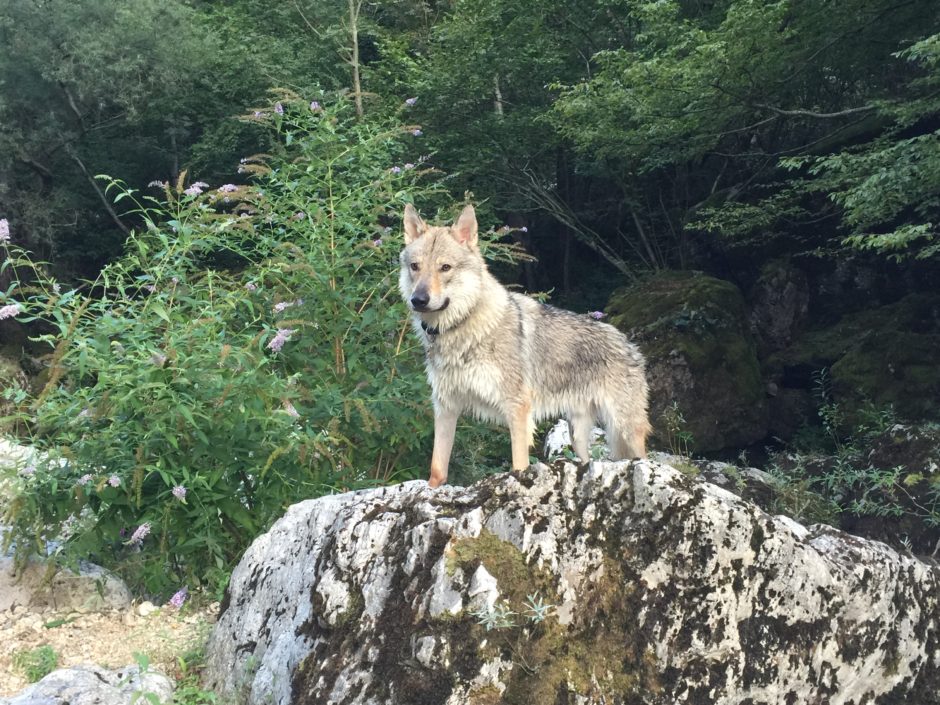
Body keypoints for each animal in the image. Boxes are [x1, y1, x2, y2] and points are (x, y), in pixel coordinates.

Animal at [398, 204, 652, 486]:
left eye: (445, 267)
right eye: (415, 266)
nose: (418, 300)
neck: (461, 328)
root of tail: (628, 342)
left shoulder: (517, 409)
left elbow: (519, 464)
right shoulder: (445, 407)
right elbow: (437, 469)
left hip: (625, 429)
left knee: (644, 457)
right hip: (577, 434)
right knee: (586, 460)